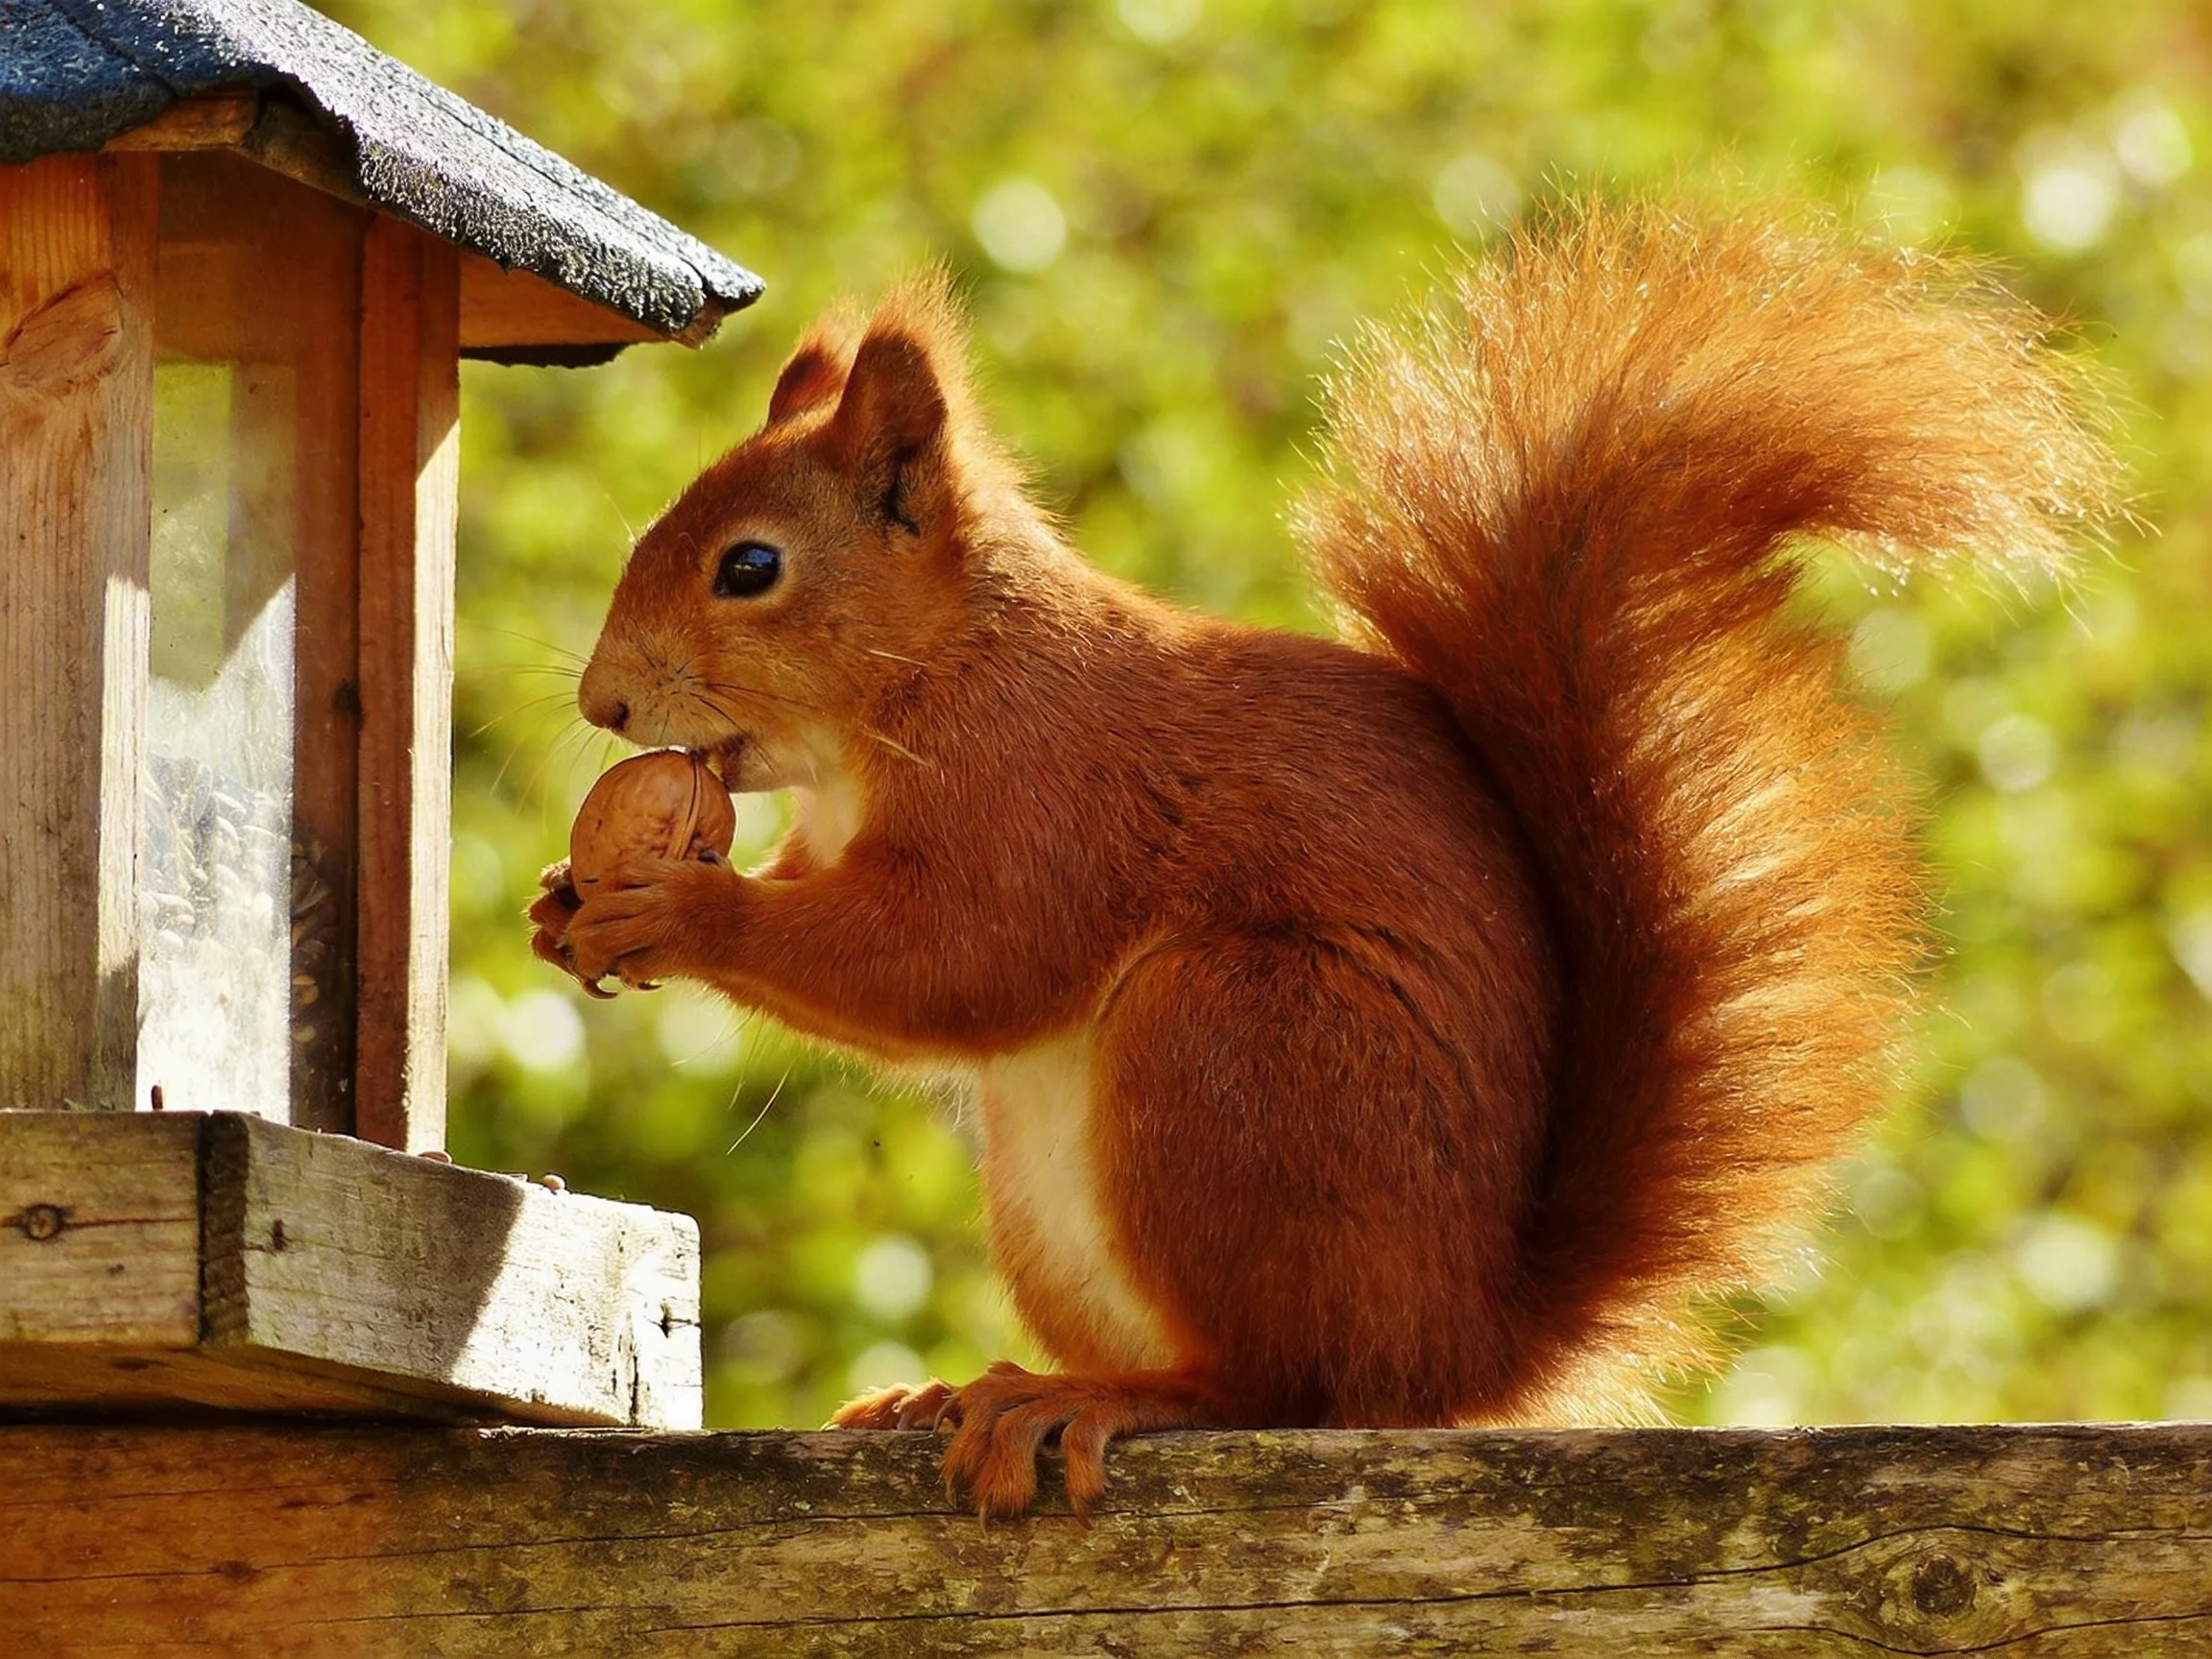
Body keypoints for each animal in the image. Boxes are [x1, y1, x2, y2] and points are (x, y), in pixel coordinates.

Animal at [529, 200, 2115, 1518]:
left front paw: (678, 908)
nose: (601, 702)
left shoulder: (1049, 788)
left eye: (750, 567)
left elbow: (960, 962)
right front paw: (564, 904)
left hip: (1237, 1044)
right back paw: (962, 1389)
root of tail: (1459, 1346)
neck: (927, 679)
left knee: (1277, 1388)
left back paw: (1097, 1402)